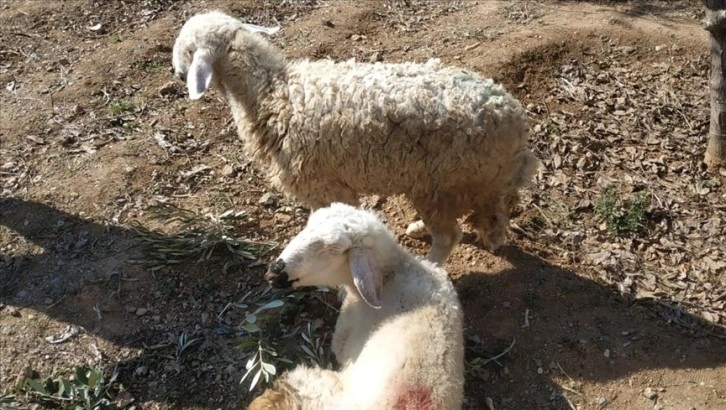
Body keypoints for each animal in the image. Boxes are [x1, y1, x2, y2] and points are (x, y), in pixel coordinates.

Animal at [172, 11, 539, 264]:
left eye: (187, 49)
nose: (176, 73)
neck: (272, 93)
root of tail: (515, 121)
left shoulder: (325, 185)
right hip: (465, 183)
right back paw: (423, 229)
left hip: (441, 181)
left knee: (449, 234)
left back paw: (431, 261)